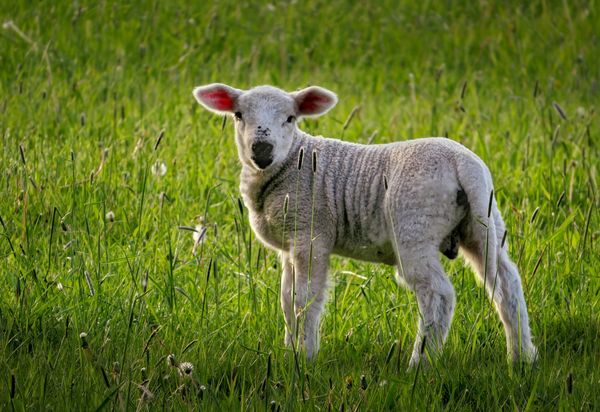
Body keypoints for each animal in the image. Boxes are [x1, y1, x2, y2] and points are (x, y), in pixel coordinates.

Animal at [193, 82, 540, 366]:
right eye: (238, 115)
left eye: (290, 118)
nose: (262, 150)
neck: (290, 163)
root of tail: (462, 162)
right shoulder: (289, 246)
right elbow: (287, 300)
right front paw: (288, 351)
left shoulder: (310, 234)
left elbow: (306, 299)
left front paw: (305, 357)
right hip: (484, 223)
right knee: (507, 284)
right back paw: (521, 357)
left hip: (414, 225)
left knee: (438, 294)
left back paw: (420, 364)